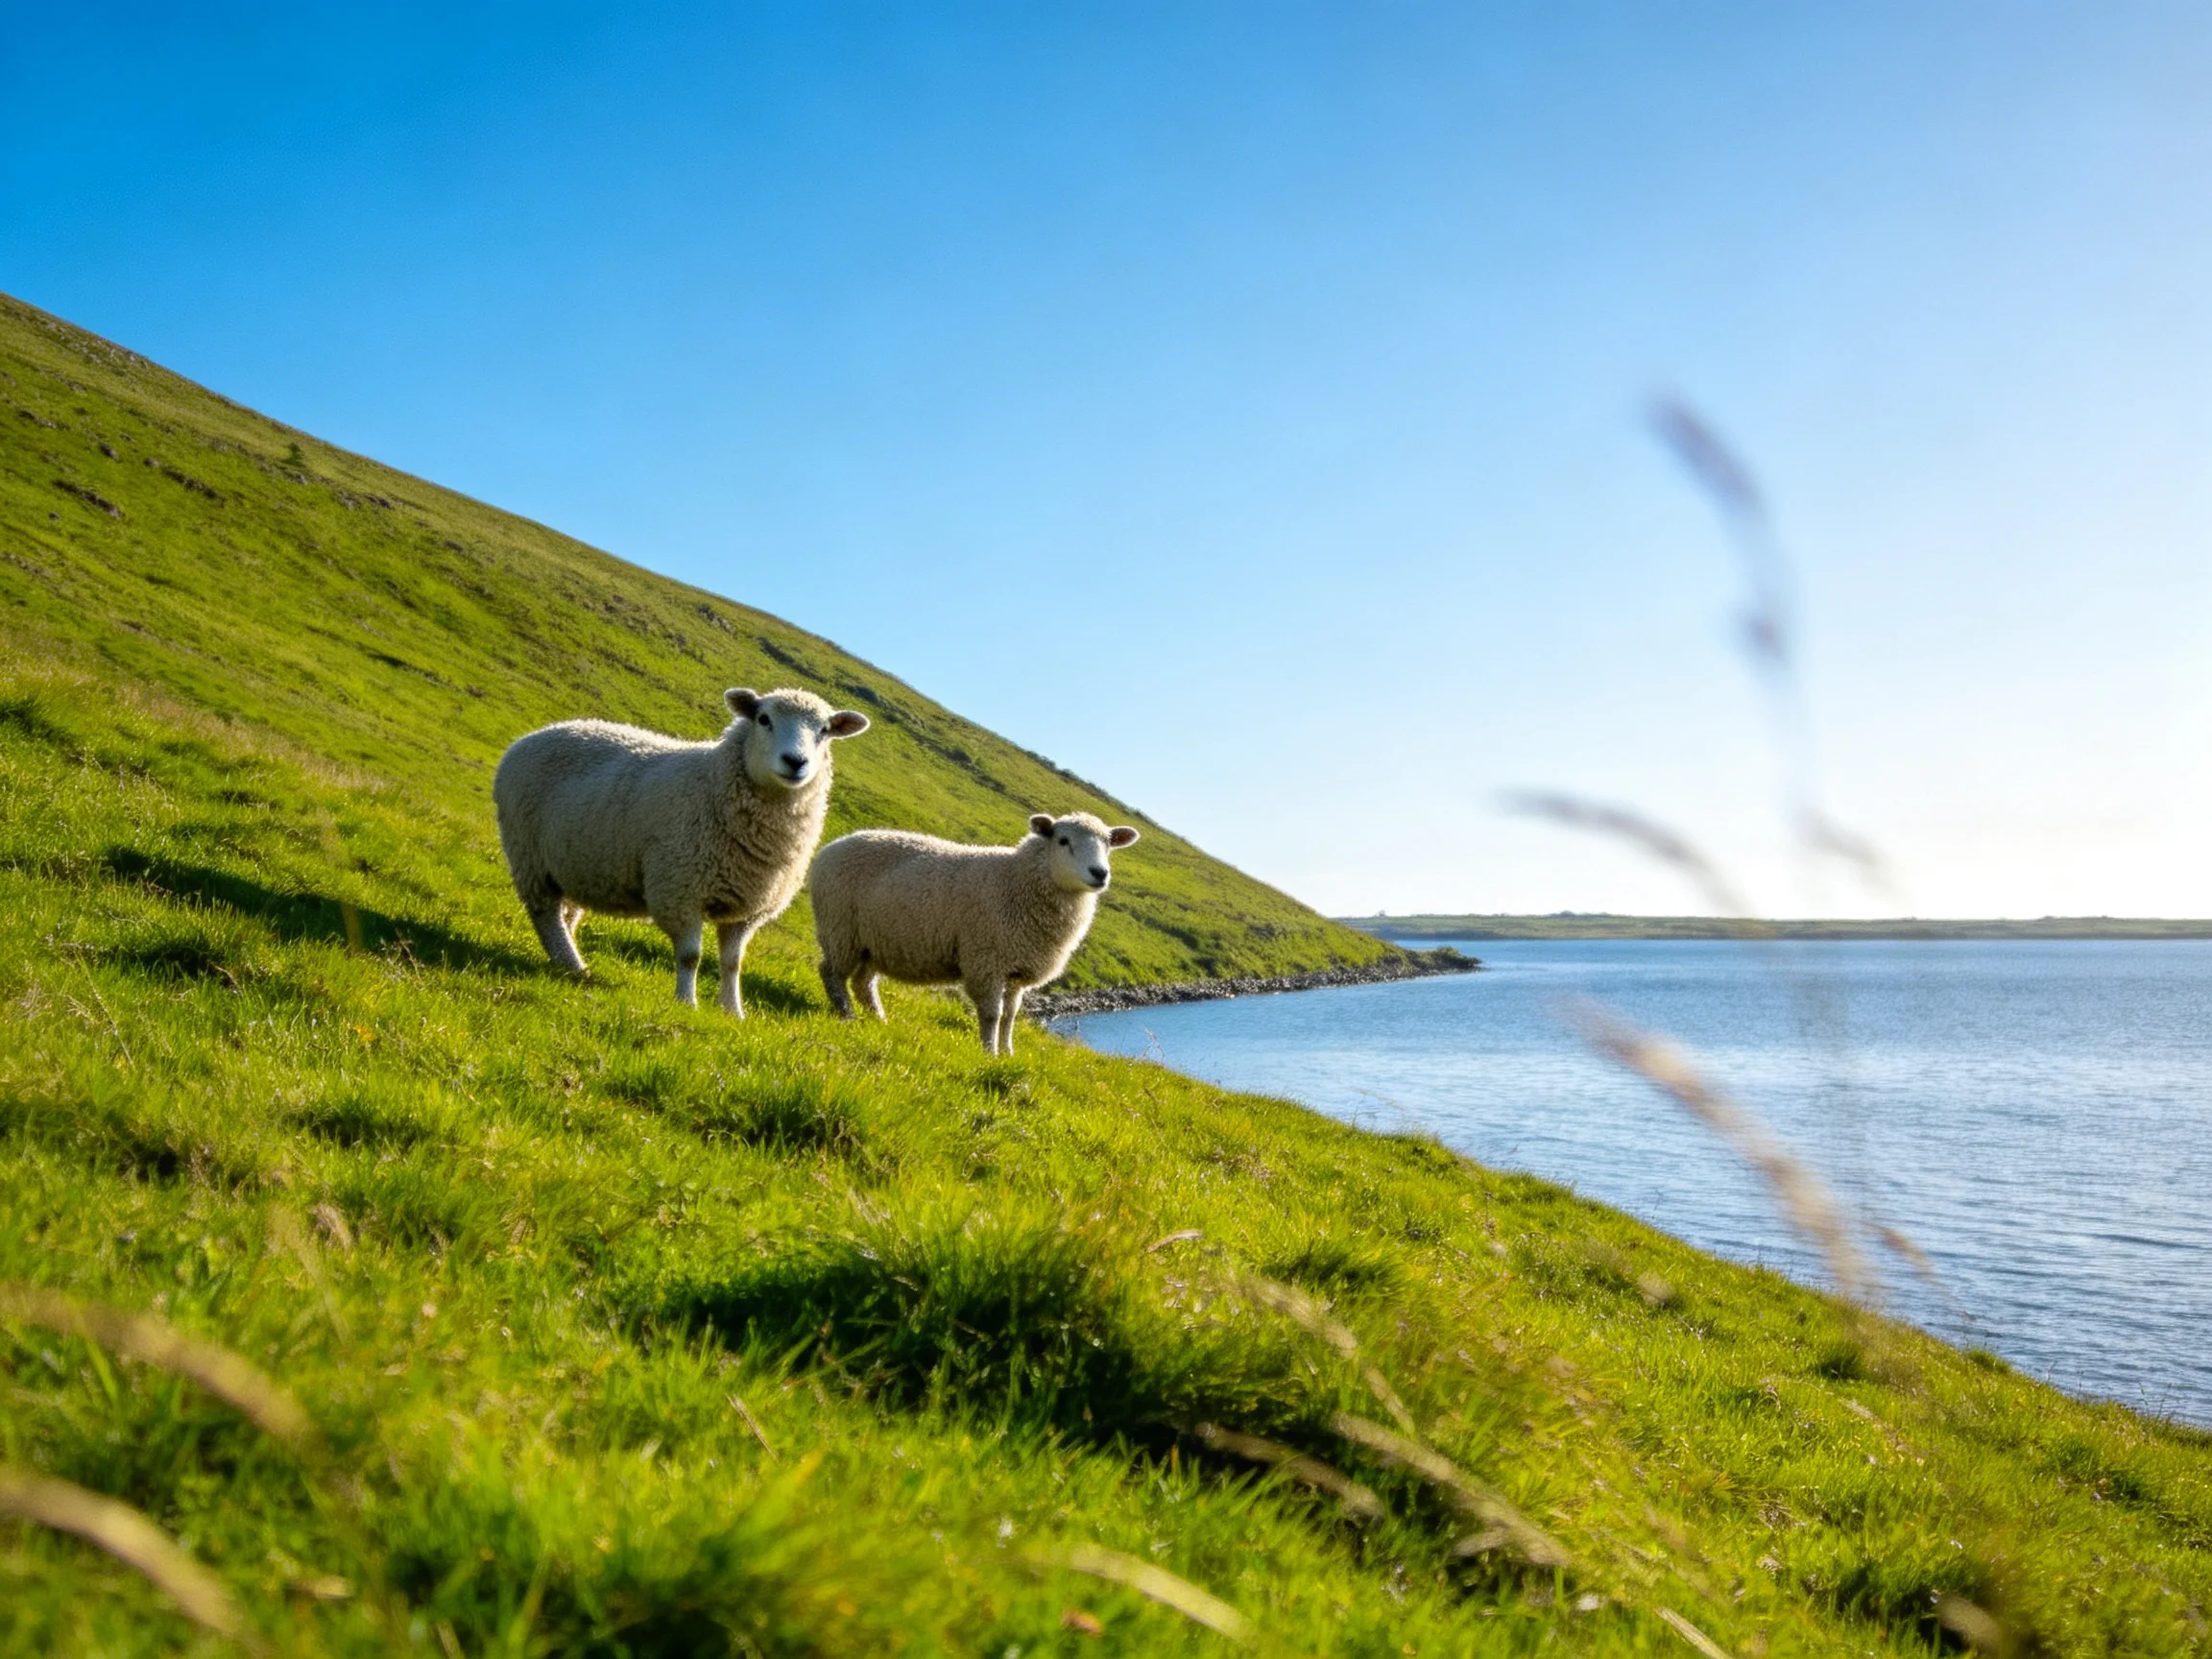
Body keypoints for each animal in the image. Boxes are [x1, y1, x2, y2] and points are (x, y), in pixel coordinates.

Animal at [493, 687, 869, 1014]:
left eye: (824, 730)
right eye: (764, 719)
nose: (796, 761)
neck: (714, 785)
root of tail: (531, 736)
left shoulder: (747, 909)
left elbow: (732, 963)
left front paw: (733, 1011)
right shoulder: (680, 889)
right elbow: (690, 956)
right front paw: (687, 1002)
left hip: (574, 864)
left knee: (566, 913)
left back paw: (566, 958)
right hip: (529, 856)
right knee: (545, 914)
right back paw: (573, 965)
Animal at [810, 811, 1140, 1053]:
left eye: (1108, 844)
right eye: (1063, 840)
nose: (1100, 873)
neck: (1017, 881)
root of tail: (830, 846)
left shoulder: (1017, 969)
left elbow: (1011, 1015)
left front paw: (1007, 1053)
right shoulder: (987, 961)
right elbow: (992, 1014)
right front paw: (988, 1053)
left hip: (873, 943)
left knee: (863, 983)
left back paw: (879, 1020)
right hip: (840, 929)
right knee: (832, 973)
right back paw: (847, 1015)